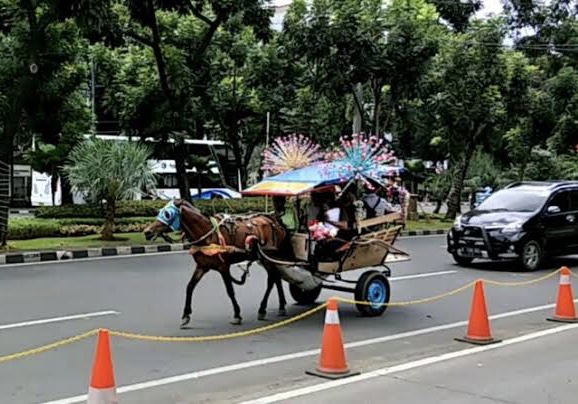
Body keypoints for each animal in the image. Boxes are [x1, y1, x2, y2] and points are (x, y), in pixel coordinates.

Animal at [143, 199, 286, 328]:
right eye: (159, 211)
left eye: (167, 214)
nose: (147, 232)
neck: (207, 236)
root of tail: (273, 220)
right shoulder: (202, 266)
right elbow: (190, 287)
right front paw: (186, 315)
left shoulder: (223, 267)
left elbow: (230, 291)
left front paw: (237, 315)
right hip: (266, 258)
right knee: (276, 278)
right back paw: (281, 306)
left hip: (268, 257)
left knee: (271, 280)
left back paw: (263, 309)